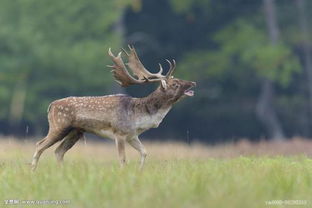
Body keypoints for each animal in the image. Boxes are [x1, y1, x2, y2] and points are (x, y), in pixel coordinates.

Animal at [31, 44, 195, 170]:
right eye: (175, 84)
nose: (193, 83)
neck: (140, 117)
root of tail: (51, 105)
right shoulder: (120, 133)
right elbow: (122, 159)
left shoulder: (132, 135)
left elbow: (144, 152)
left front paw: (139, 171)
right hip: (59, 125)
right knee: (39, 145)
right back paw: (33, 171)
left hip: (75, 131)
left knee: (58, 151)